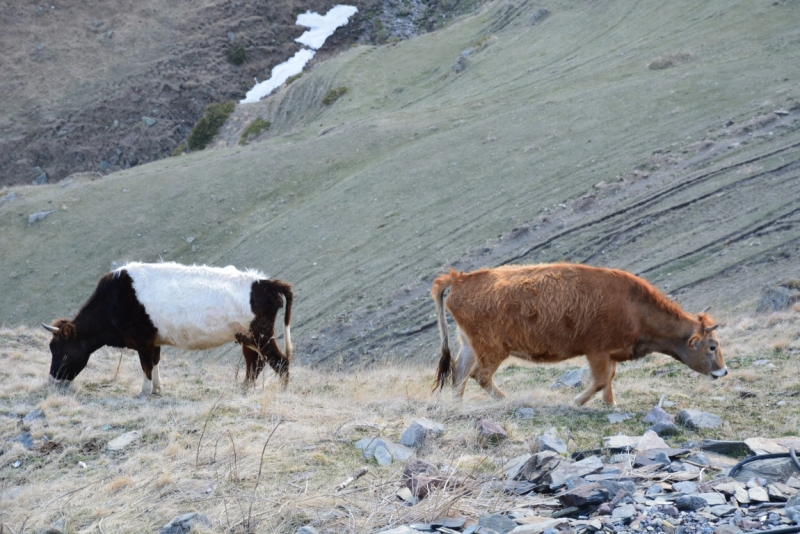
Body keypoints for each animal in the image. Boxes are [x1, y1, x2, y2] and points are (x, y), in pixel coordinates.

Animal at [43, 264, 294, 398]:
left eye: (57, 348)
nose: (53, 378)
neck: (114, 299)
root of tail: (266, 282)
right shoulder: (154, 341)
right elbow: (155, 363)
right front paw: (157, 388)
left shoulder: (142, 340)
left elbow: (145, 366)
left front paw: (144, 392)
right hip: (246, 337)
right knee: (254, 364)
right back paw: (243, 389)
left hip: (261, 334)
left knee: (280, 361)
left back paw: (282, 392)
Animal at [432, 264, 724, 406]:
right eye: (712, 346)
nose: (724, 371)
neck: (634, 306)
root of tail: (461, 279)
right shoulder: (597, 351)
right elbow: (600, 380)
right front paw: (577, 401)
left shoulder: (610, 354)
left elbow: (609, 379)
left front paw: (610, 403)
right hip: (492, 348)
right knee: (479, 375)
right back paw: (506, 400)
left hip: (470, 345)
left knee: (460, 372)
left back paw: (458, 405)